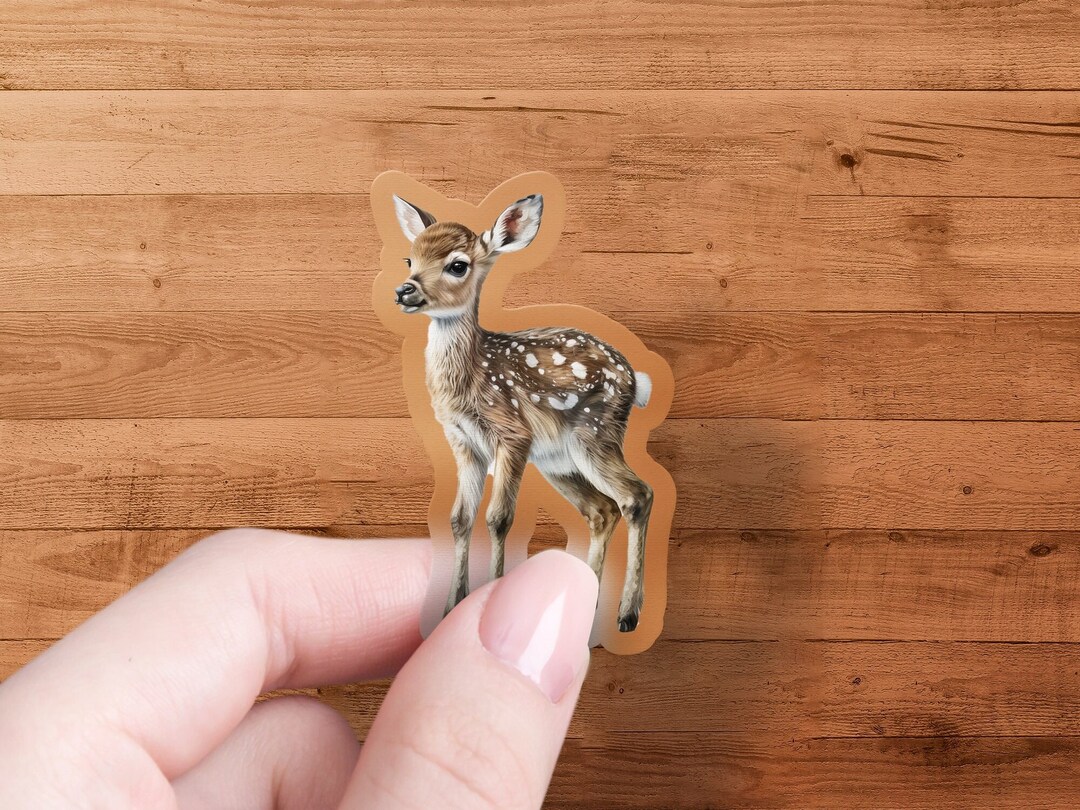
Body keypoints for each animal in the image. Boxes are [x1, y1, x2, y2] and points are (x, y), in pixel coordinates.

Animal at [391, 193, 654, 632]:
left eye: (457, 265)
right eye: (410, 258)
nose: (404, 290)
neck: (470, 378)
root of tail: (637, 380)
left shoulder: (512, 434)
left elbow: (499, 518)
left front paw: (490, 599)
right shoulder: (463, 442)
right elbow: (460, 519)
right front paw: (450, 609)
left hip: (595, 434)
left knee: (637, 495)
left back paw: (627, 615)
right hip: (558, 461)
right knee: (601, 510)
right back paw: (587, 604)